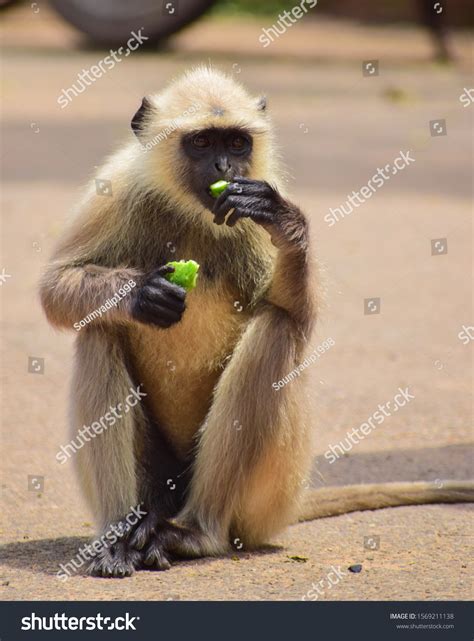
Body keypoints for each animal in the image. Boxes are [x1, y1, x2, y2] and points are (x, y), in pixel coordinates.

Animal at [40, 67, 474, 578]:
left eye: (236, 142)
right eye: (202, 142)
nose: (225, 167)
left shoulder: (262, 187)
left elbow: (295, 315)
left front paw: (283, 221)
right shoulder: (117, 187)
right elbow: (54, 288)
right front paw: (143, 294)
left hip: (269, 498)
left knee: (276, 331)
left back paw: (195, 533)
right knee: (98, 329)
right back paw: (119, 534)